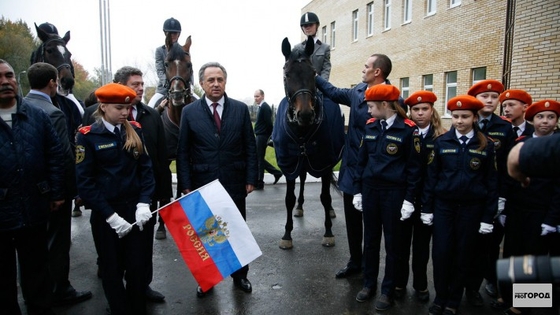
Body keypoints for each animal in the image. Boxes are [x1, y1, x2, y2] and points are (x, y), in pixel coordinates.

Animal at [272, 36, 346, 249]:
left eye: (313, 74)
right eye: (287, 74)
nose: (304, 114)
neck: (302, 129)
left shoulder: (325, 163)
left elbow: (325, 196)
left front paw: (328, 233)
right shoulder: (289, 164)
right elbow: (289, 198)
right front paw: (287, 235)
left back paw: (331, 211)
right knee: (303, 179)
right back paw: (300, 207)